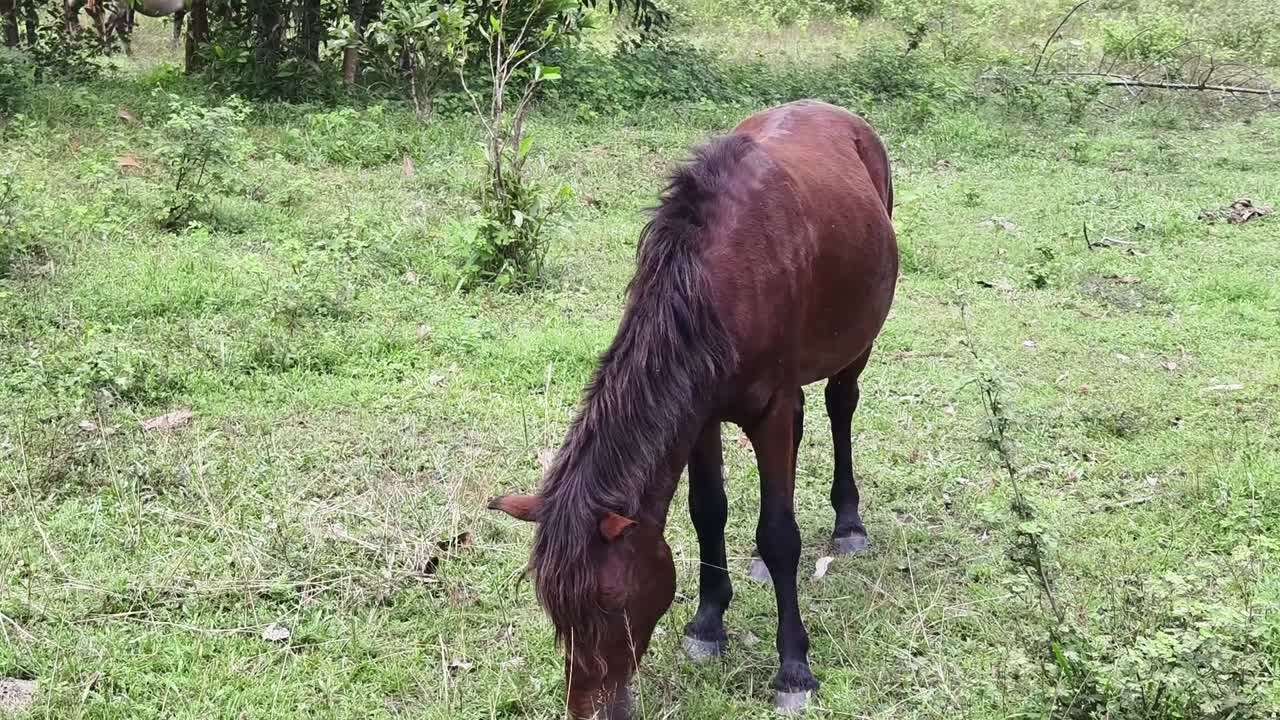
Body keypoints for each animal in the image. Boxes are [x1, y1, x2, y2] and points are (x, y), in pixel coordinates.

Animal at [489, 99, 898, 719]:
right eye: (554, 609)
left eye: (610, 605)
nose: (591, 709)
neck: (716, 284)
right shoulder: (700, 416)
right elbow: (709, 512)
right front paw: (708, 623)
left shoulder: (768, 411)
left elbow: (780, 534)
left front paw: (793, 669)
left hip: (856, 345)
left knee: (840, 406)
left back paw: (849, 523)